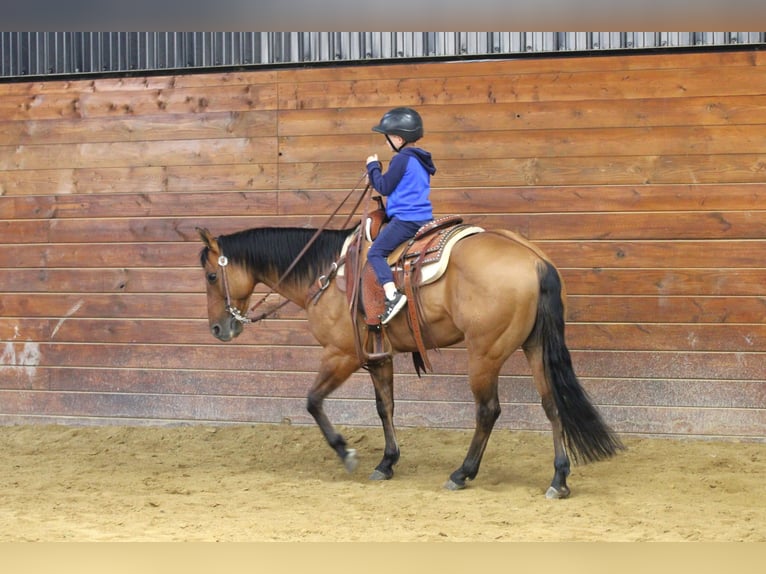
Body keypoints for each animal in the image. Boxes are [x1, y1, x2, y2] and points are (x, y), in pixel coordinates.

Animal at [197, 221, 623, 498]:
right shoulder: (378, 356)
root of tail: (535, 260)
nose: (218, 329)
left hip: (484, 353)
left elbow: (313, 401)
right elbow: (385, 406)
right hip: (535, 347)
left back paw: (462, 473)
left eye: (211, 276)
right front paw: (387, 462)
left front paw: (346, 452)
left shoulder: (342, 354)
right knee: (552, 405)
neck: (326, 274)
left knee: (488, 410)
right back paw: (559, 479)